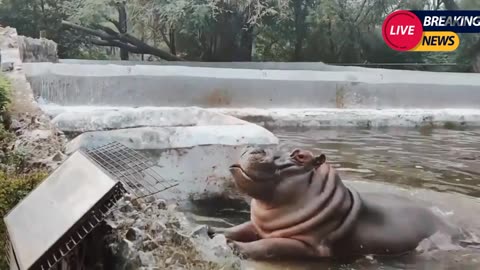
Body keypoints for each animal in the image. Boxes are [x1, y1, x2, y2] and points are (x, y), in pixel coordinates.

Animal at [211, 148, 462, 262]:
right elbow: (239, 227)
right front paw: (215, 231)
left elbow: (270, 245)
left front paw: (234, 246)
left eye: (301, 156)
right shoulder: (258, 224)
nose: (257, 148)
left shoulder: (309, 244)